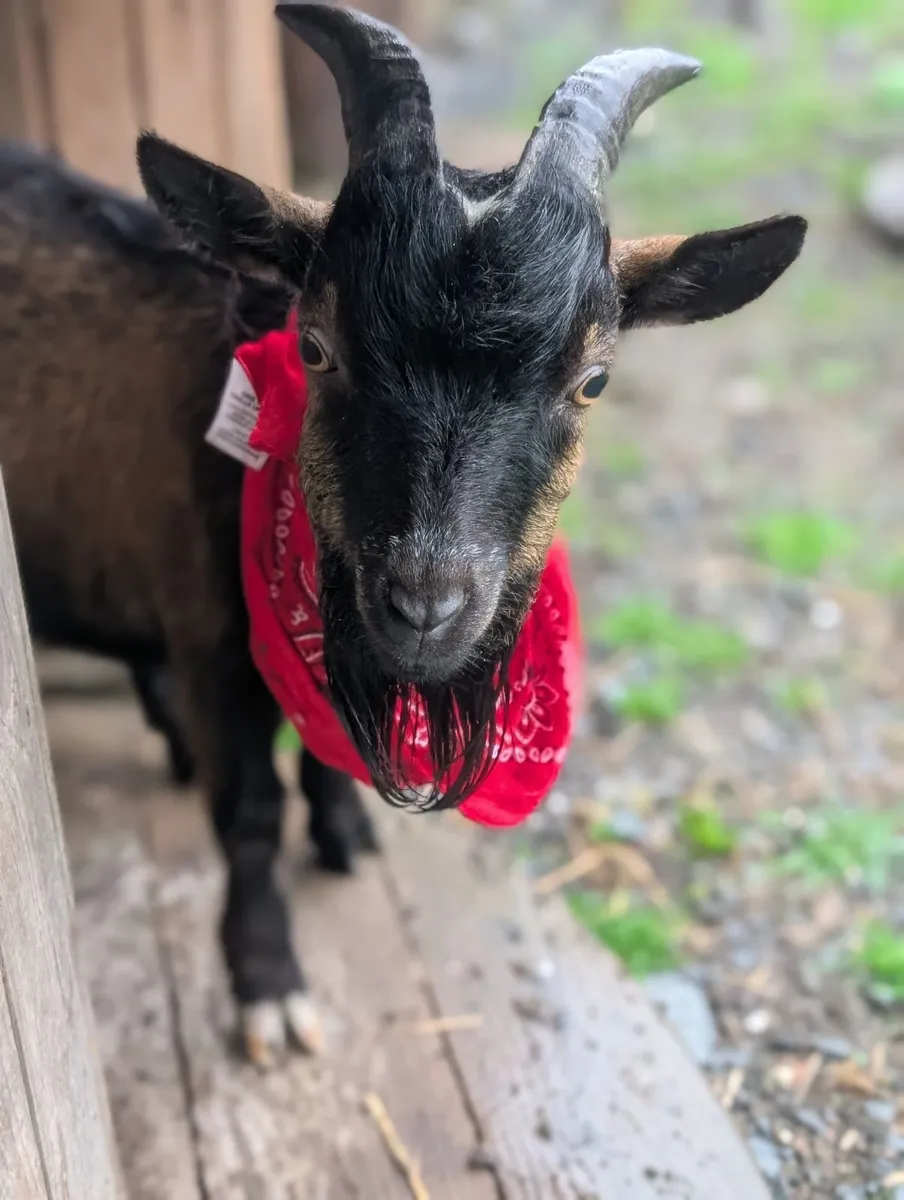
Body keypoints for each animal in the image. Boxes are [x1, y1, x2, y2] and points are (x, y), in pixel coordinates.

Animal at [2, 3, 806, 1066]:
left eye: (592, 380)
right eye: (316, 347)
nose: (427, 606)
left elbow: (323, 746)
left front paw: (343, 833)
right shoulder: (216, 644)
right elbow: (247, 814)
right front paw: (268, 986)